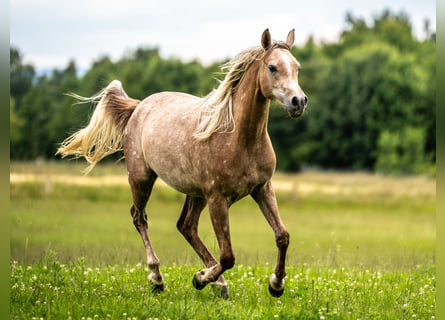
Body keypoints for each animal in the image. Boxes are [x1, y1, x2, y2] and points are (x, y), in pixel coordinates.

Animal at [58, 28, 306, 298]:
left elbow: (282, 236)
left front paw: (276, 284)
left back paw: (217, 283)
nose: (298, 101)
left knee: (186, 226)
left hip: (195, 193)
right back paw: (158, 278)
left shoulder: (262, 188)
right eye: (272, 67)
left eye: (297, 67)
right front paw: (199, 279)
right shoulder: (217, 199)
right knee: (140, 218)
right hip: (141, 179)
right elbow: (228, 256)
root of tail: (139, 107)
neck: (240, 137)